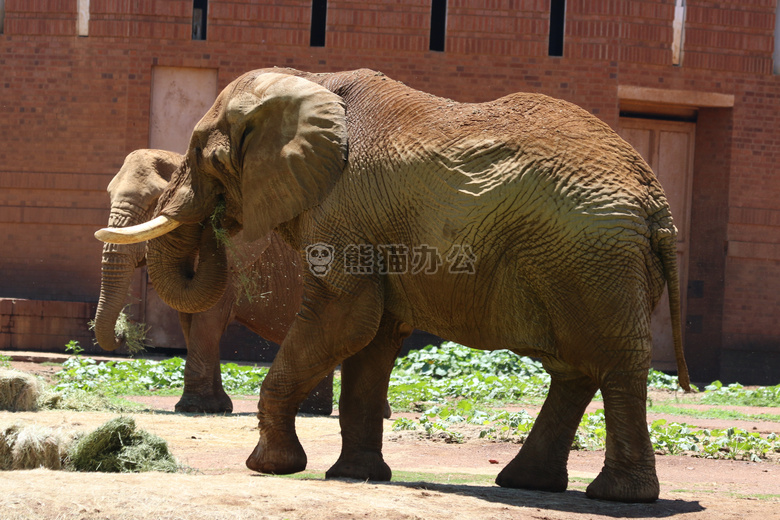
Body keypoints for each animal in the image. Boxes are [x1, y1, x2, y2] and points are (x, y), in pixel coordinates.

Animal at [95, 149, 332, 414]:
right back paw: (311, 409)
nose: (122, 335)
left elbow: (209, 316)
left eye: (154, 199)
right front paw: (217, 407)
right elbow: (189, 316)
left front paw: (194, 407)